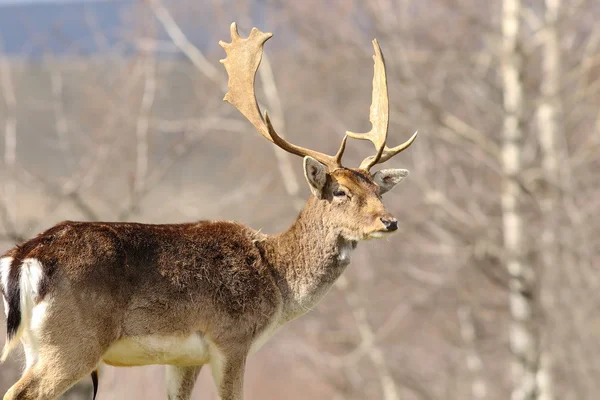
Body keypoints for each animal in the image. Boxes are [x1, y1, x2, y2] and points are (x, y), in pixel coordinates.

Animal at [1, 22, 418, 400]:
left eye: (376, 188)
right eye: (341, 191)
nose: (390, 221)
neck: (277, 282)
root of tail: (26, 255)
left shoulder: (185, 358)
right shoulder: (231, 338)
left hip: (34, 345)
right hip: (73, 341)